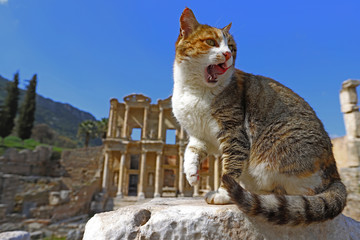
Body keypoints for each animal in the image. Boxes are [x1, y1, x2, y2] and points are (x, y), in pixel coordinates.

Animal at [173, 7, 348, 225]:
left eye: (232, 47)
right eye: (211, 42)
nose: (227, 54)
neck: (195, 90)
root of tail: (335, 175)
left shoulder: (233, 132)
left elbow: (231, 165)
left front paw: (222, 194)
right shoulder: (200, 136)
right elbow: (191, 151)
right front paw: (191, 174)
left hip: (276, 149)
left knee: (305, 195)